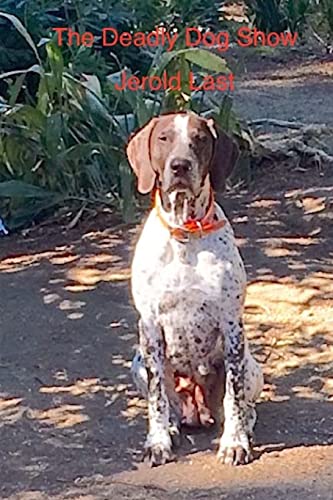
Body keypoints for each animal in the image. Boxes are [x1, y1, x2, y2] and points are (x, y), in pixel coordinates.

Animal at [126, 111, 262, 466]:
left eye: (199, 139)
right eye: (163, 138)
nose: (180, 166)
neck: (184, 233)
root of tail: (197, 408)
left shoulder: (231, 326)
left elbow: (233, 396)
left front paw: (234, 443)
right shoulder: (150, 327)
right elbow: (158, 398)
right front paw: (158, 441)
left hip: (252, 366)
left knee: (243, 406)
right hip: (138, 363)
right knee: (170, 404)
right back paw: (173, 426)